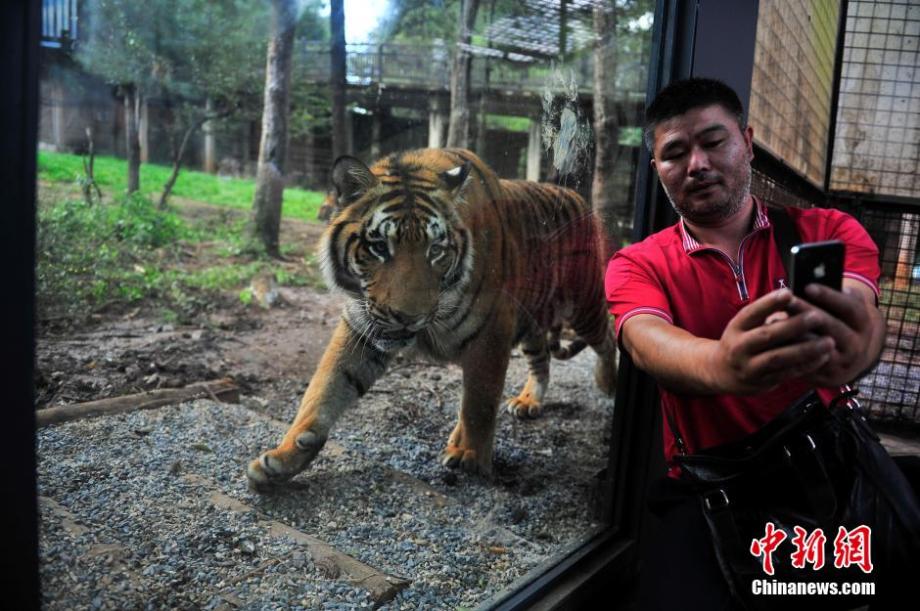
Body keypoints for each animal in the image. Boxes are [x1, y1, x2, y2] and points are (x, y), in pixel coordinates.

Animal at [246, 148, 620, 492]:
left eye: (435, 251)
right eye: (379, 247)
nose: (407, 318)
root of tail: (578, 197)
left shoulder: (492, 332)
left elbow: (479, 403)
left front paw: (470, 457)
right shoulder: (361, 328)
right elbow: (324, 389)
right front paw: (283, 458)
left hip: (583, 305)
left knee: (607, 338)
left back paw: (607, 383)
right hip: (531, 320)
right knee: (541, 359)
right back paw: (529, 401)